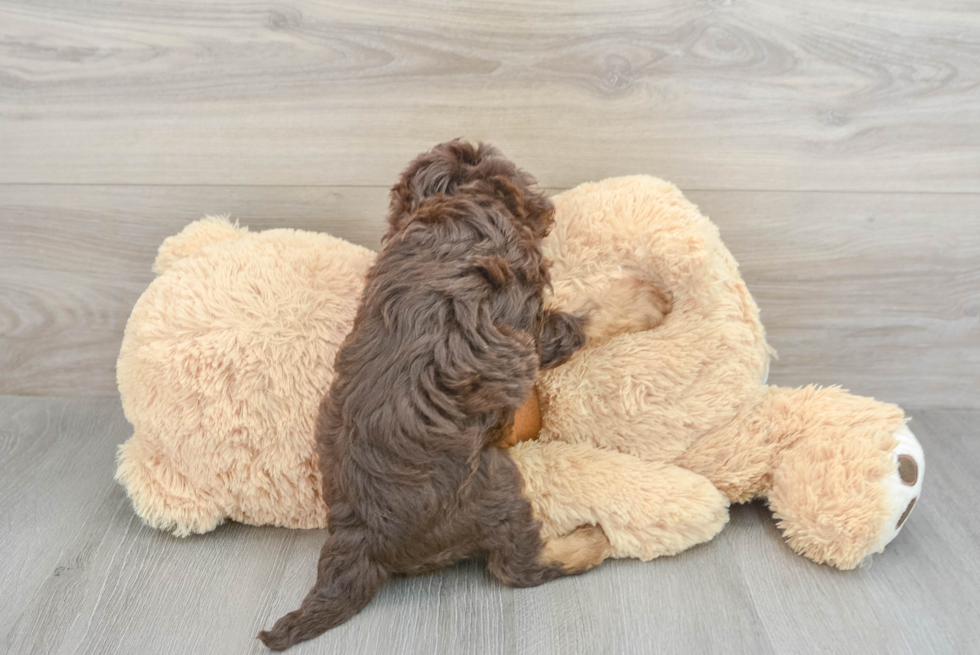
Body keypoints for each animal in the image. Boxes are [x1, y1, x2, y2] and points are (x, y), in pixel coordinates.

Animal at [256, 140, 608, 652]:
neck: (452, 205)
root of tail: (360, 539)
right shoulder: (527, 326)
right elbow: (582, 317)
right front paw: (647, 295)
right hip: (496, 492)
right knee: (517, 565)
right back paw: (591, 541)